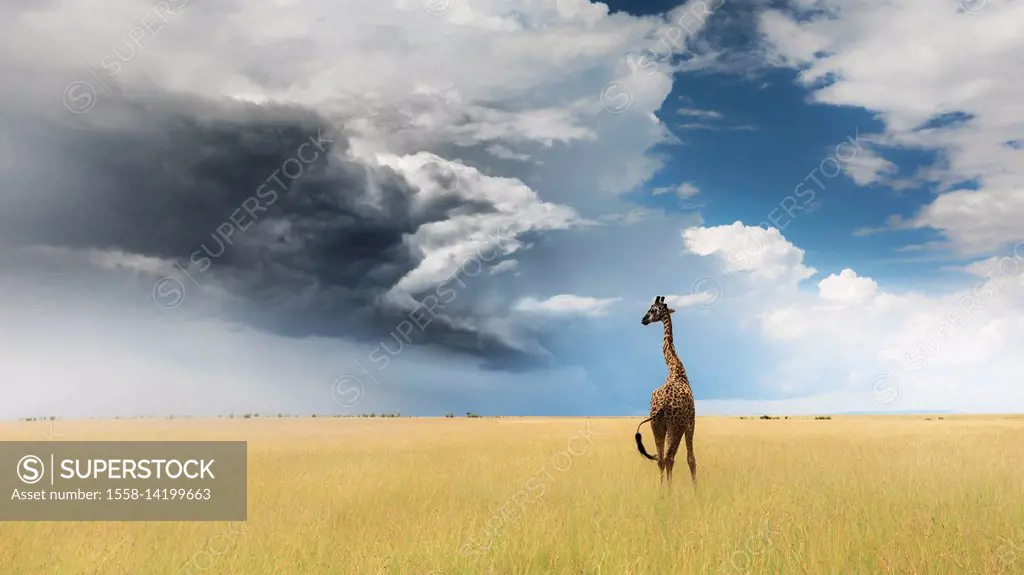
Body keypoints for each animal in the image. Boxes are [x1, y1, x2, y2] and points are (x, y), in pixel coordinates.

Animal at [630, 294, 696, 487]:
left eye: (653, 309)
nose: (643, 319)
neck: (675, 369)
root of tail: (662, 406)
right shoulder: (691, 421)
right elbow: (691, 459)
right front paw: (696, 489)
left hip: (657, 425)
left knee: (660, 458)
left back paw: (662, 490)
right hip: (674, 426)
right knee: (669, 458)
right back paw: (669, 490)